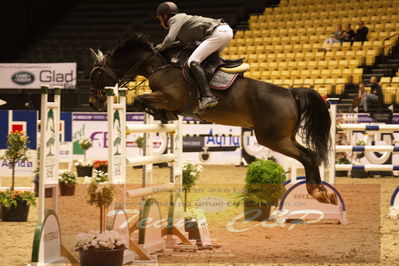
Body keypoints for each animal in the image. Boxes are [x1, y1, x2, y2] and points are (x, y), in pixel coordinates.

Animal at [90, 34, 338, 206]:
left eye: (96, 74)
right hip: (285, 137)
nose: (93, 103)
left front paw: (159, 113)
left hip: (273, 139)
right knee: (310, 156)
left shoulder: (170, 97)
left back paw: (318, 192)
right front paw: (163, 115)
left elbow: (142, 99)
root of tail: (291, 93)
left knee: (307, 156)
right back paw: (323, 192)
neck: (161, 66)